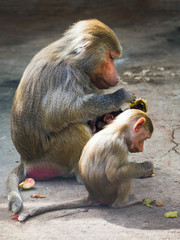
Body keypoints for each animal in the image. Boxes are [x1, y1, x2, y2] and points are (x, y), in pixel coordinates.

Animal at [7, 18, 136, 214]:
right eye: (111, 57)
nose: (116, 78)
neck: (74, 59)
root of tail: (26, 160)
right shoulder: (65, 74)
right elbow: (64, 112)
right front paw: (120, 96)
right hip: (52, 157)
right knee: (75, 129)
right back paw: (83, 175)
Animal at [17, 109, 153, 222]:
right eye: (145, 138)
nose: (141, 149)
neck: (118, 130)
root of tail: (92, 196)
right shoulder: (117, 146)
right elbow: (114, 173)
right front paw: (145, 167)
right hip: (109, 194)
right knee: (122, 179)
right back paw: (121, 204)